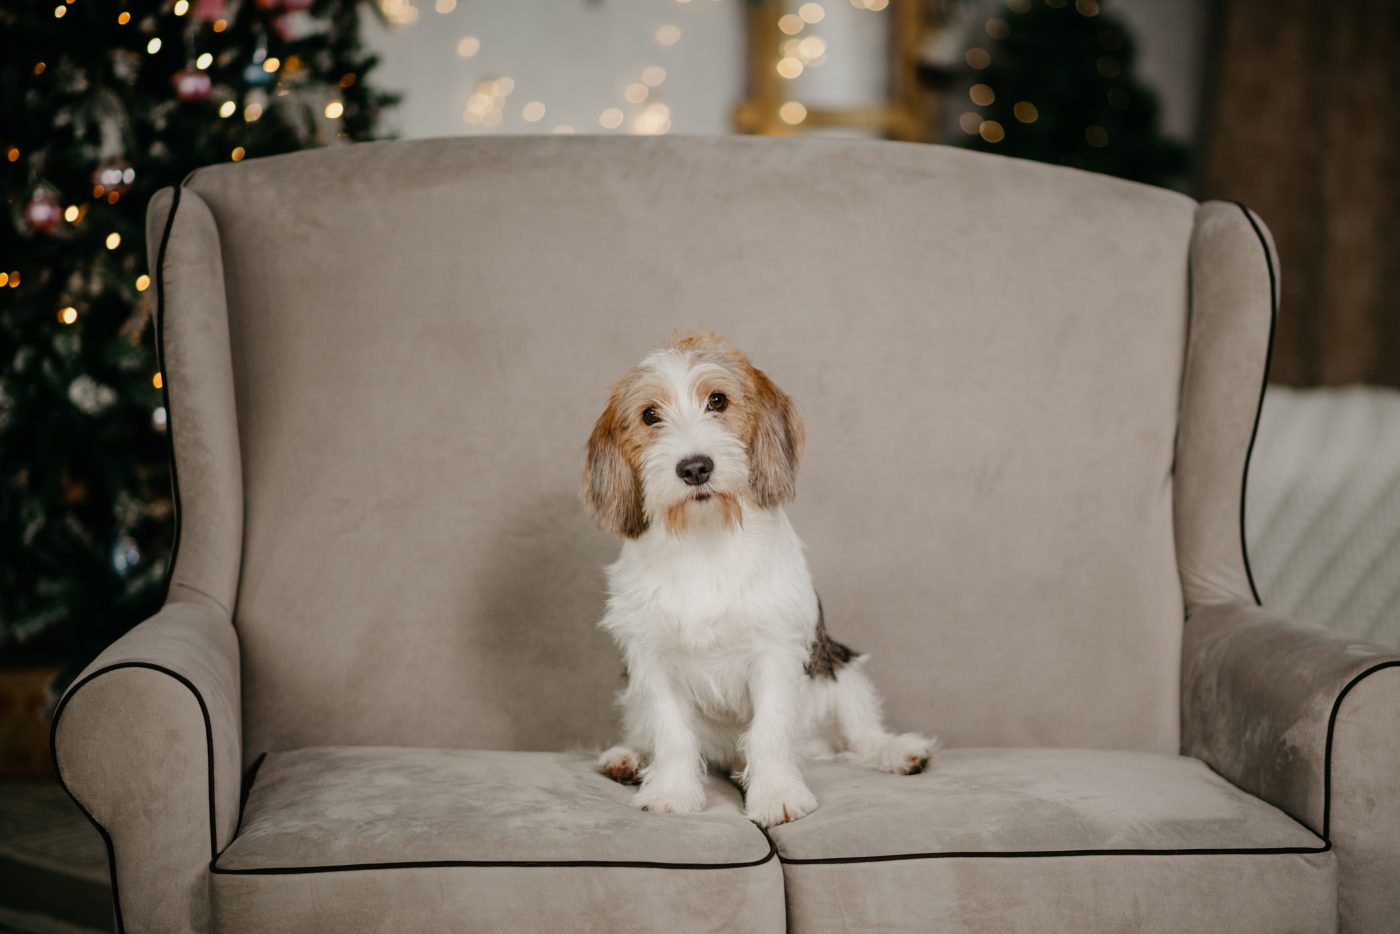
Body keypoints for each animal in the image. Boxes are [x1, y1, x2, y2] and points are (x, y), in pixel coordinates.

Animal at [585, 331, 935, 828]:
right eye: (650, 414)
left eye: (717, 400)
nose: (695, 467)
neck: (704, 537)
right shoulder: (651, 659)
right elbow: (671, 734)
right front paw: (672, 791)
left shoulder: (775, 650)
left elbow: (768, 730)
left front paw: (776, 795)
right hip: (634, 693)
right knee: (647, 733)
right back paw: (627, 758)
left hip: (840, 670)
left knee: (860, 736)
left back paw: (899, 751)